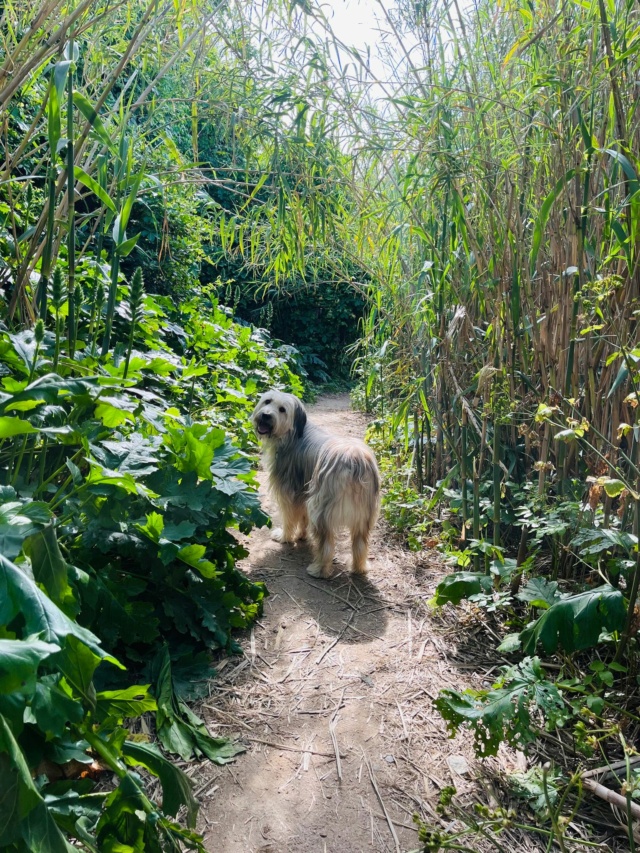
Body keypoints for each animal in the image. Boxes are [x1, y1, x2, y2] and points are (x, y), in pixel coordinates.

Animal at [251, 392, 380, 580]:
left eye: (282, 410)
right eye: (267, 401)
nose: (266, 415)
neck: (292, 434)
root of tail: (355, 461)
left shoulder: (288, 493)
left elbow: (289, 519)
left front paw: (284, 537)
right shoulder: (304, 492)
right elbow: (302, 518)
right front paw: (301, 536)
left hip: (322, 510)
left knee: (326, 545)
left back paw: (319, 570)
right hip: (364, 516)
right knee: (360, 544)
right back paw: (359, 568)